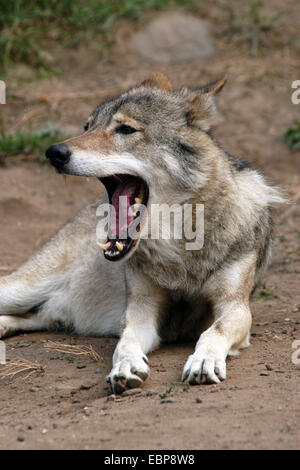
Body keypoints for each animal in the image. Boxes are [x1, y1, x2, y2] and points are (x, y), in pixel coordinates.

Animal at [0, 73, 284, 392]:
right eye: (88, 127)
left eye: (125, 129)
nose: (54, 152)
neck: (179, 249)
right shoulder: (141, 309)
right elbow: (126, 342)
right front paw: (125, 367)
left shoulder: (235, 306)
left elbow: (213, 331)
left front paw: (204, 361)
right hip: (23, 289)